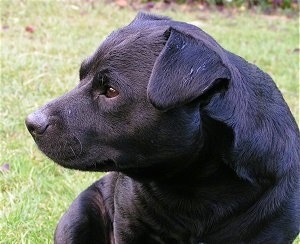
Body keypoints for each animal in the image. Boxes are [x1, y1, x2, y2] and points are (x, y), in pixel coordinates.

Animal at [26, 12, 300, 242]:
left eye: (111, 91)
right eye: (82, 76)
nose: (31, 122)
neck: (197, 185)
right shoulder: (129, 226)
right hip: (79, 214)